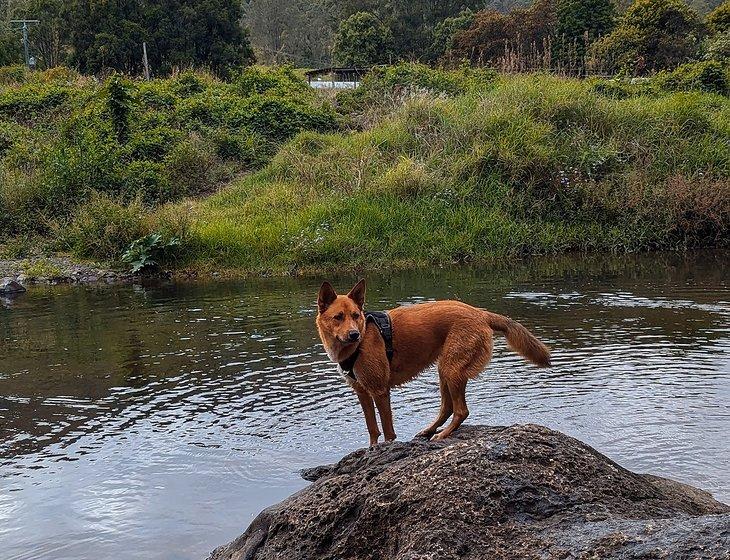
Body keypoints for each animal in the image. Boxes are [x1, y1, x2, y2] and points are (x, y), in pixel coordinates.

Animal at [316, 280, 548, 446]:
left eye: (356, 315)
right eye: (338, 317)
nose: (354, 334)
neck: (360, 342)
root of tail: (480, 313)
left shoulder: (380, 391)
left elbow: (387, 429)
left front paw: (387, 447)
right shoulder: (362, 392)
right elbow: (372, 427)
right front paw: (372, 449)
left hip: (451, 369)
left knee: (461, 411)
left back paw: (443, 434)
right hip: (444, 370)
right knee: (447, 408)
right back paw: (429, 430)